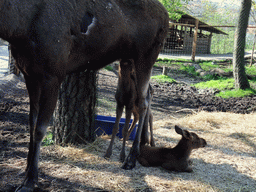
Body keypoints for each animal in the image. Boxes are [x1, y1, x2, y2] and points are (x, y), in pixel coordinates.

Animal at [0, 0, 170, 190]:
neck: (18, 28)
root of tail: (167, 18)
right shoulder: (30, 75)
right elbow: (31, 124)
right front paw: (26, 172)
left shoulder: (53, 75)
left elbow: (40, 129)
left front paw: (31, 180)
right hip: (130, 60)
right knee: (147, 96)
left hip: (146, 57)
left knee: (142, 103)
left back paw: (131, 159)